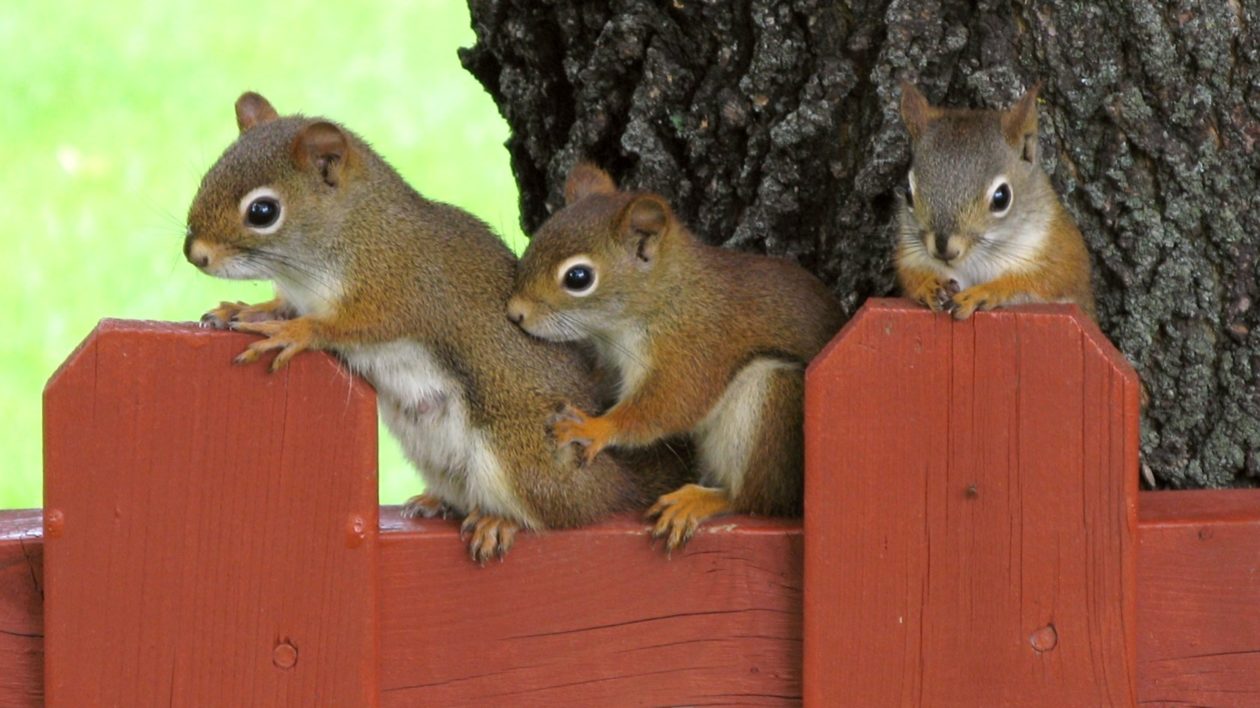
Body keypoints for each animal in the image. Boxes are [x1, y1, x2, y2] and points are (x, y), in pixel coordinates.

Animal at [181, 90, 685, 559]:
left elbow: (352, 325)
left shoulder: (399, 289)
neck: (350, 232)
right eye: (208, 176)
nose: (195, 255)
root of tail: (614, 483)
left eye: (262, 212)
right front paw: (245, 309)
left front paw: (293, 332)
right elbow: (282, 305)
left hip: (517, 457)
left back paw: (501, 521)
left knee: (559, 515)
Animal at [504, 162, 846, 549]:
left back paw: (701, 500)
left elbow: (668, 405)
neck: (665, 296)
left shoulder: (693, 347)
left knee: (753, 499)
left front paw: (594, 427)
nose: (515, 312)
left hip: (774, 396)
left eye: (578, 277)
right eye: (535, 242)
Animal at [897, 79, 1093, 317]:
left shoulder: (1062, 256)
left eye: (1002, 198)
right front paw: (928, 285)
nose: (944, 250)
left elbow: (1040, 282)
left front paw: (984, 291)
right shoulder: (910, 255)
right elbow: (911, 275)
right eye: (908, 192)